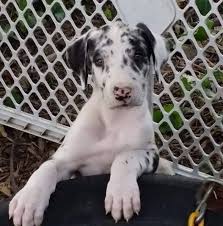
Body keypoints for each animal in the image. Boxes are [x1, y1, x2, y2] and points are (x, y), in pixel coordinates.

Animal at [9, 21, 174, 226]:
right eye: (99, 61)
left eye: (138, 55)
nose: (123, 91)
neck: (114, 120)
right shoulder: (66, 160)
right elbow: (46, 168)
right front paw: (28, 200)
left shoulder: (149, 153)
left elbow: (125, 158)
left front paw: (121, 194)